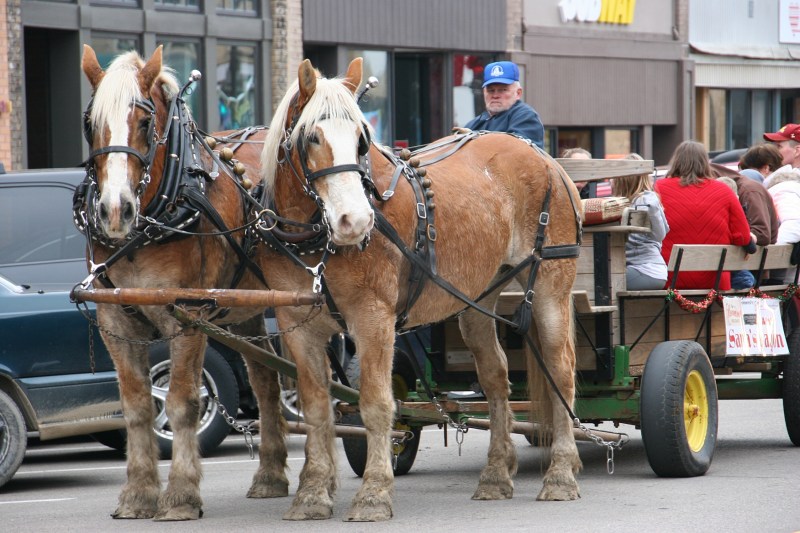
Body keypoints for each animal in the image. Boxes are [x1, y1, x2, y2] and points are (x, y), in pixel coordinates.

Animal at [77, 45, 291, 520]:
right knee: (266, 381)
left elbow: (181, 403)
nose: (115, 210)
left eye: (144, 122)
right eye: (89, 124)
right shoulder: (115, 321)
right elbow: (138, 406)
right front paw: (137, 494)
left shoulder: (188, 315)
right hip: (244, 309)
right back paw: (270, 475)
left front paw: (179, 496)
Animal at [257, 57, 584, 521]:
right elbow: (318, 407)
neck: (316, 239)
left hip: (552, 289)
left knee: (561, 371)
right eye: (312, 136)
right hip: (477, 299)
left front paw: (374, 493)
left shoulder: (374, 319)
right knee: (496, 377)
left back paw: (560, 474)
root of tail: (542, 157)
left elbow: (376, 404)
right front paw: (312, 495)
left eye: (361, 140)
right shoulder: (297, 325)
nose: (355, 221)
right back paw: (496, 474)